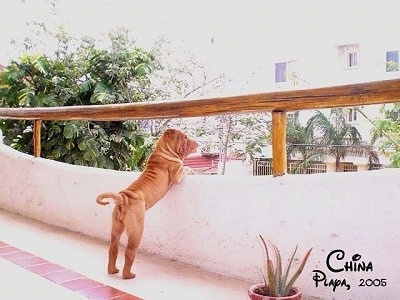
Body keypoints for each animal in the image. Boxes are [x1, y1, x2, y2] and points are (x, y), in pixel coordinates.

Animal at [96, 128, 198, 278]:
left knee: (113, 249)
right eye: (185, 137)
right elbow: (186, 167)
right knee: (129, 252)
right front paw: (193, 170)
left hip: (116, 228)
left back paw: (112, 270)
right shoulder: (178, 174)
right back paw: (128, 275)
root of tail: (122, 198)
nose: (197, 143)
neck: (164, 150)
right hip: (137, 231)